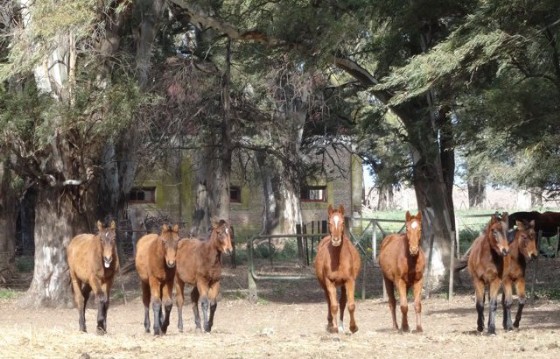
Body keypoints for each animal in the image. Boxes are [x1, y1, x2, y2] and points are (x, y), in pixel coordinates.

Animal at [312, 205, 360, 334]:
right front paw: (333, 327)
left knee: (342, 302)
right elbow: (333, 305)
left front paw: (353, 327)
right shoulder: (329, 282)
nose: (336, 240)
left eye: (342, 222)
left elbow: (350, 305)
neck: (338, 260)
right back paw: (331, 324)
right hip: (324, 284)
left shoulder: (350, 281)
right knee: (329, 301)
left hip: (343, 285)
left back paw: (341, 326)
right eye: (329, 222)